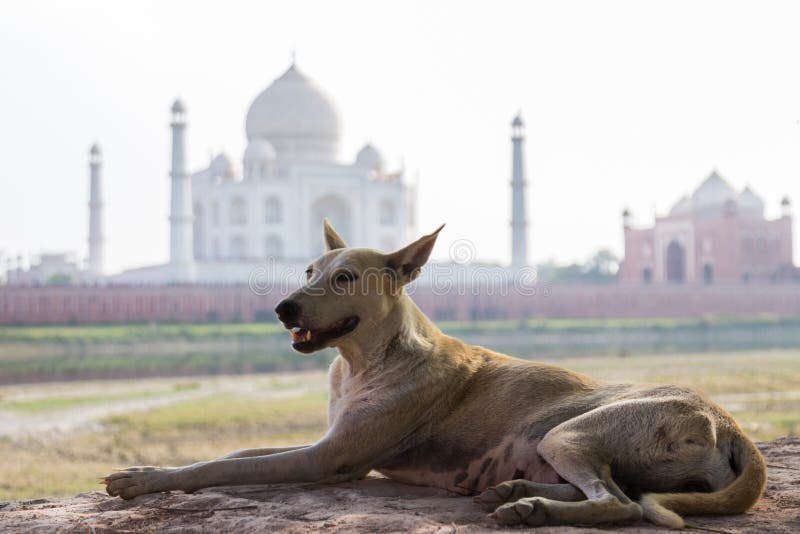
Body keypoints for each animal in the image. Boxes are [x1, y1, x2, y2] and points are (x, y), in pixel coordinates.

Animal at [103, 223, 764, 532]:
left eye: (345, 278)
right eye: (310, 269)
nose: (282, 308)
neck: (365, 361)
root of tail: (731, 424)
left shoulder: (330, 459)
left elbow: (219, 467)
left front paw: (143, 479)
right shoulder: (325, 440)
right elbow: (234, 453)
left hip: (572, 432)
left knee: (619, 505)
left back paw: (533, 509)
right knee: (609, 491)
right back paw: (513, 493)